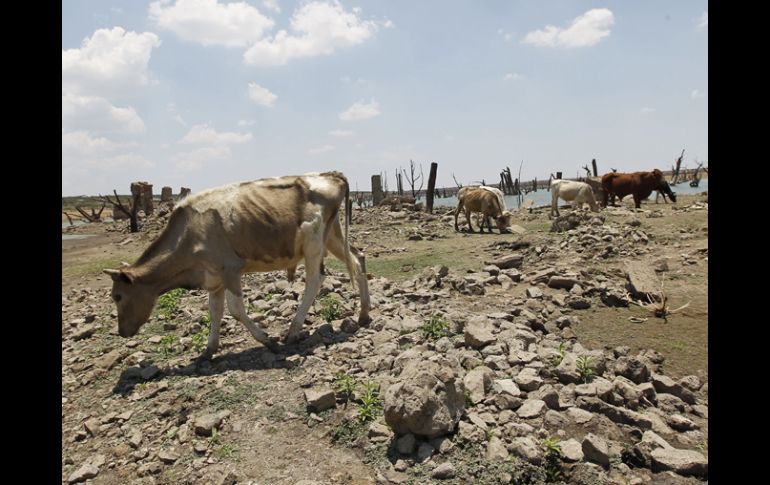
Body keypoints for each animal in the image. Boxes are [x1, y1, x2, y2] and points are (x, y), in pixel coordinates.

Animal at [103, 172, 372, 358]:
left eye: (118, 296)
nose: (122, 332)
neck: (189, 233)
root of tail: (328, 174)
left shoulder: (230, 269)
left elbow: (235, 309)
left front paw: (267, 340)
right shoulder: (213, 279)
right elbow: (215, 311)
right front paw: (209, 350)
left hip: (313, 242)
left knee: (314, 282)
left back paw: (293, 331)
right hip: (333, 235)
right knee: (358, 260)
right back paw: (363, 314)